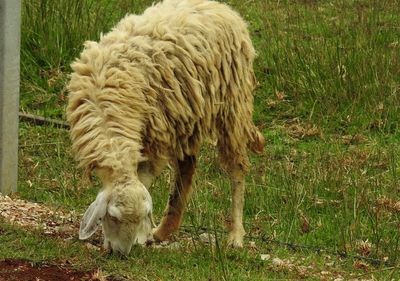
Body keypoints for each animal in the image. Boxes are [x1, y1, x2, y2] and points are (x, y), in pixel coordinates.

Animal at [67, 0, 264, 254]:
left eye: (141, 217)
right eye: (111, 216)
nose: (121, 254)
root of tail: (223, 8)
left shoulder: (154, 138)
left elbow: (144, 179)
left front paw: (140, 237)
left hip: (232, 106)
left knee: (236, 168)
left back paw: (235, 235)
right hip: (188, 116)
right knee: (187, 168)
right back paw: (165, 229)